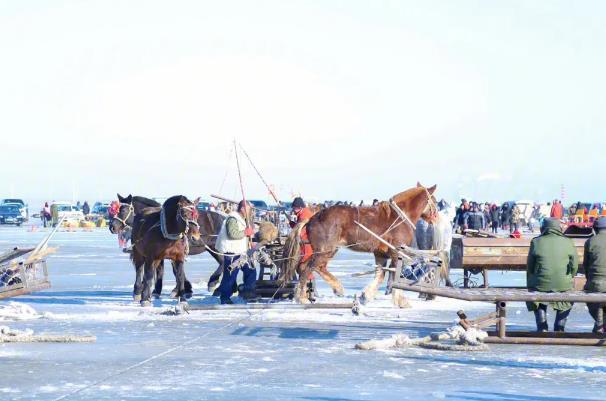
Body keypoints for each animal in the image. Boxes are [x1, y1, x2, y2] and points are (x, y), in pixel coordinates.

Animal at [294, 184, 440, 306]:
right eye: (434, 201)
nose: (436, 218)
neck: (401, 217)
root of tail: (311, 219)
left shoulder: (381, 254)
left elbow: (380, 276)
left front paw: (365, 296)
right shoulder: (396, 253)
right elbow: (394, 278)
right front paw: (401, 302)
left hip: (328, 250)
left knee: (314, 267)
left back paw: (336, 288)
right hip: (325, 250)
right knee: (308, 268)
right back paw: (302, 297)